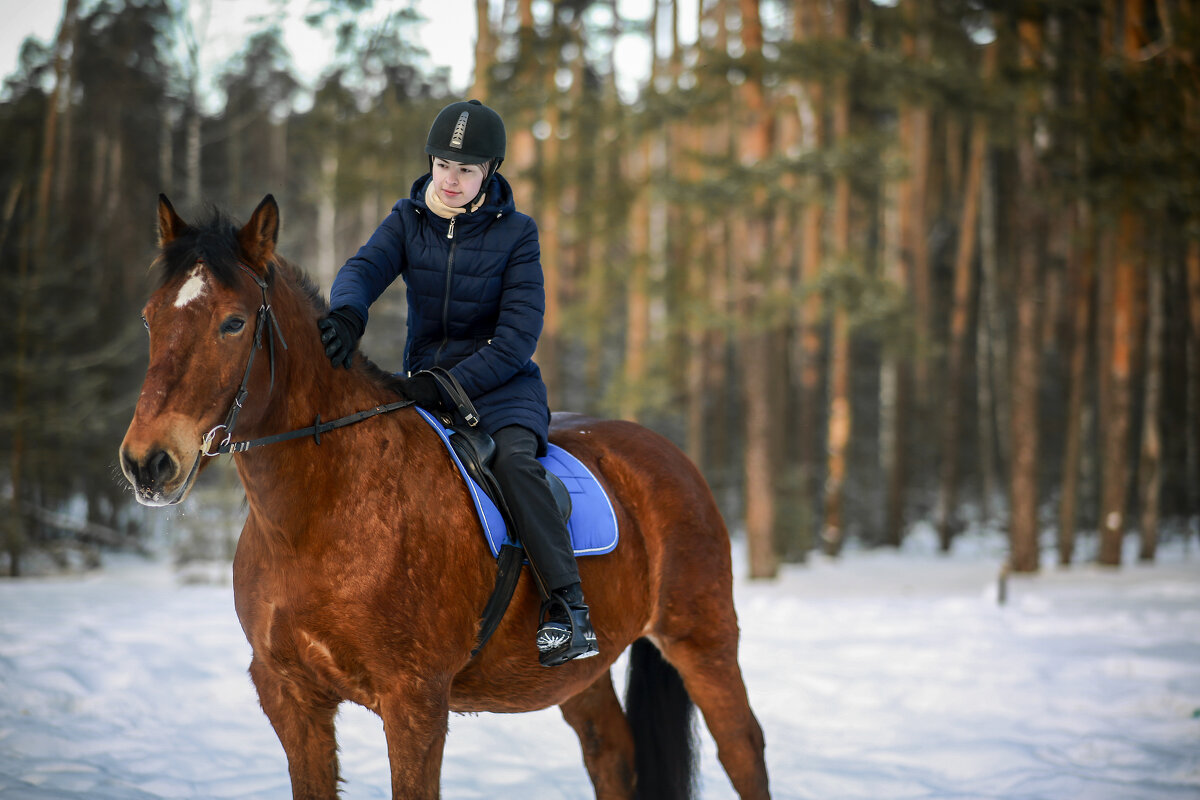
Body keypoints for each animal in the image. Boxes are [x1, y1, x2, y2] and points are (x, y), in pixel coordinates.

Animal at [119, 195, 768, 800]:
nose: (148, 462)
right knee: (611, 752)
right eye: (149, 319)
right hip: (584, 672)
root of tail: (667, 454)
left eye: (233, 323)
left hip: (702, 638)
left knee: (743, 747)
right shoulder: (291, 697)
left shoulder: (414, 702)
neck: (319, 517)